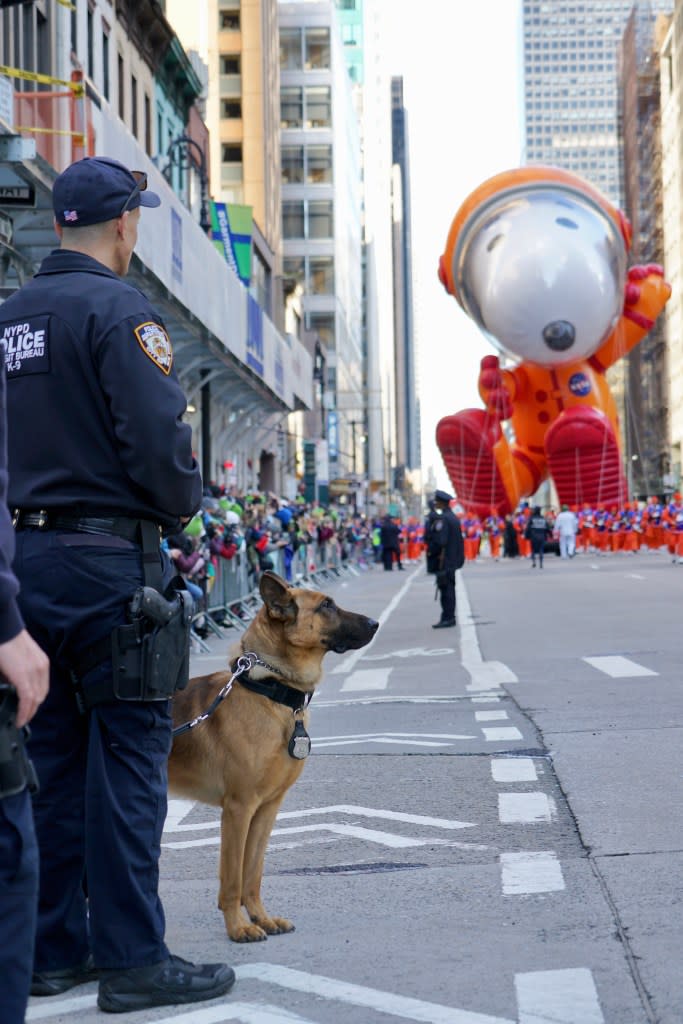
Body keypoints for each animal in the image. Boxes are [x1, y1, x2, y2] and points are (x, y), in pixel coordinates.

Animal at [167, 569, 376, 942]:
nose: (375, 623)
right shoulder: (238, 809)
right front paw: (237, 928)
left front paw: (261, 918)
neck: (270, 690)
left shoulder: (266, 809)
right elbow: (233, 877)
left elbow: (253, 873)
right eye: (326, 605)